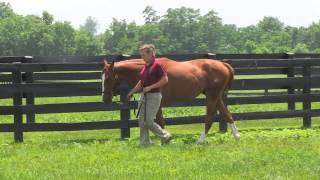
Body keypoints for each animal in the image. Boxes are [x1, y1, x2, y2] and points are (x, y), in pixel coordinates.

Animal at [102, 57, 240, 143]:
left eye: (108, 78)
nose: (105, 99)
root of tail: (223, 64)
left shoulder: (158, 104)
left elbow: (159, 122)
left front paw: (165, 139)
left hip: (212, 96)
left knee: (210, 117)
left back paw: (200, 141)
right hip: (216, 97)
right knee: (227, 115)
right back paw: (237, 136)